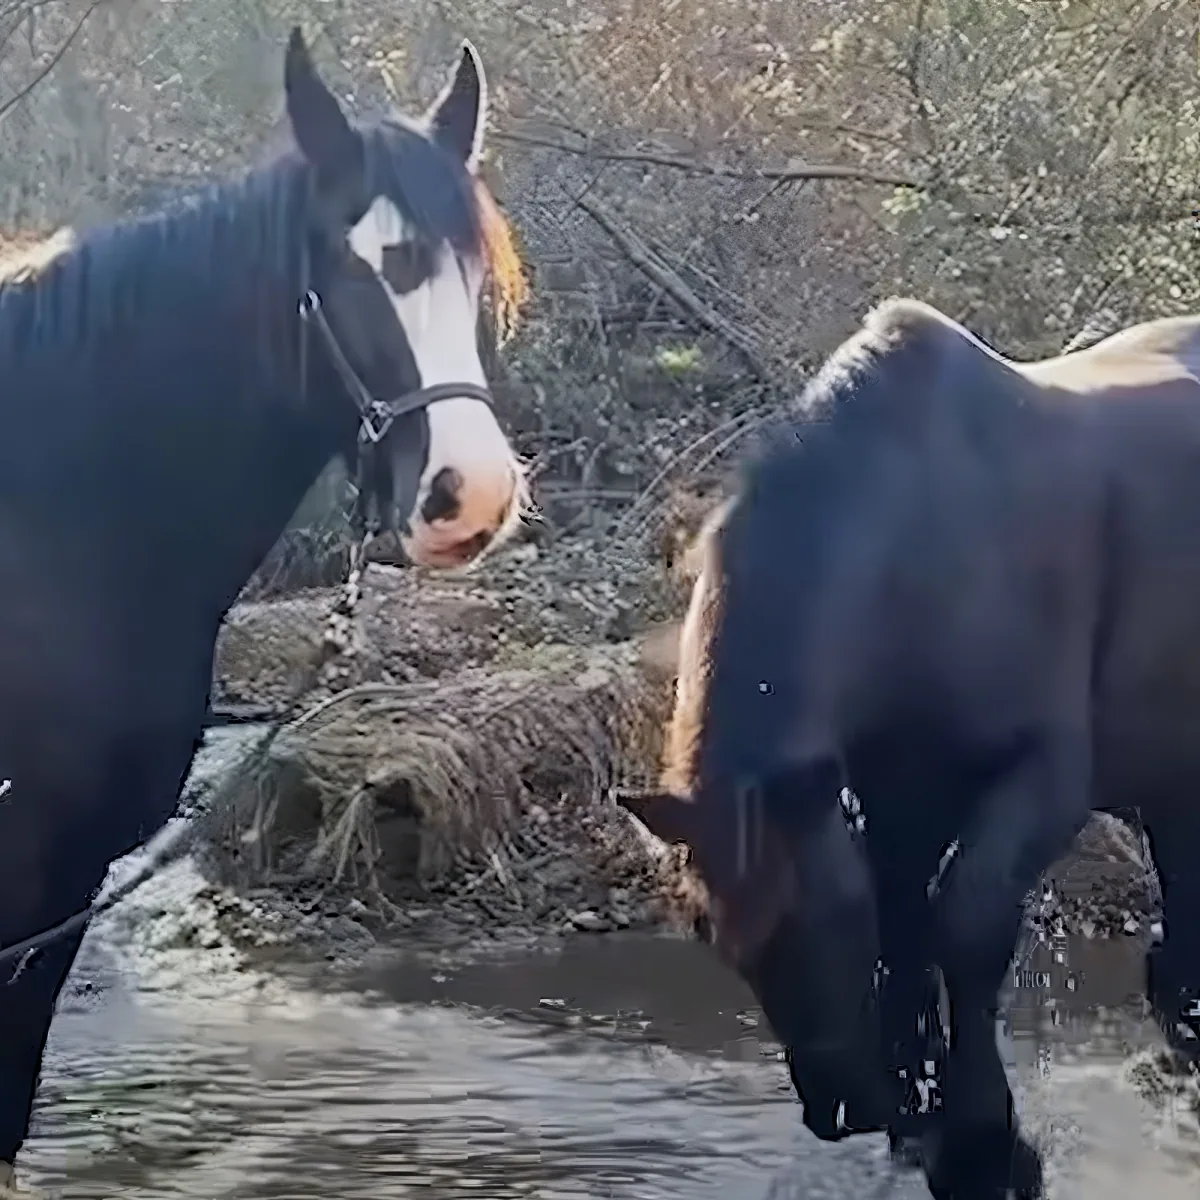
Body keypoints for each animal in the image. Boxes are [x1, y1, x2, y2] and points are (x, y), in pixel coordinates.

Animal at [617, 296, 1200, 1199]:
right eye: (710, 931)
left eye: (821, 915)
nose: (838, 1109)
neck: (921, 538)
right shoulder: (895, 795)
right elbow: (908, 933)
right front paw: (926, 1121)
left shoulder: (1045, 779)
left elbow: (966, 929)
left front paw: (987, 1144)